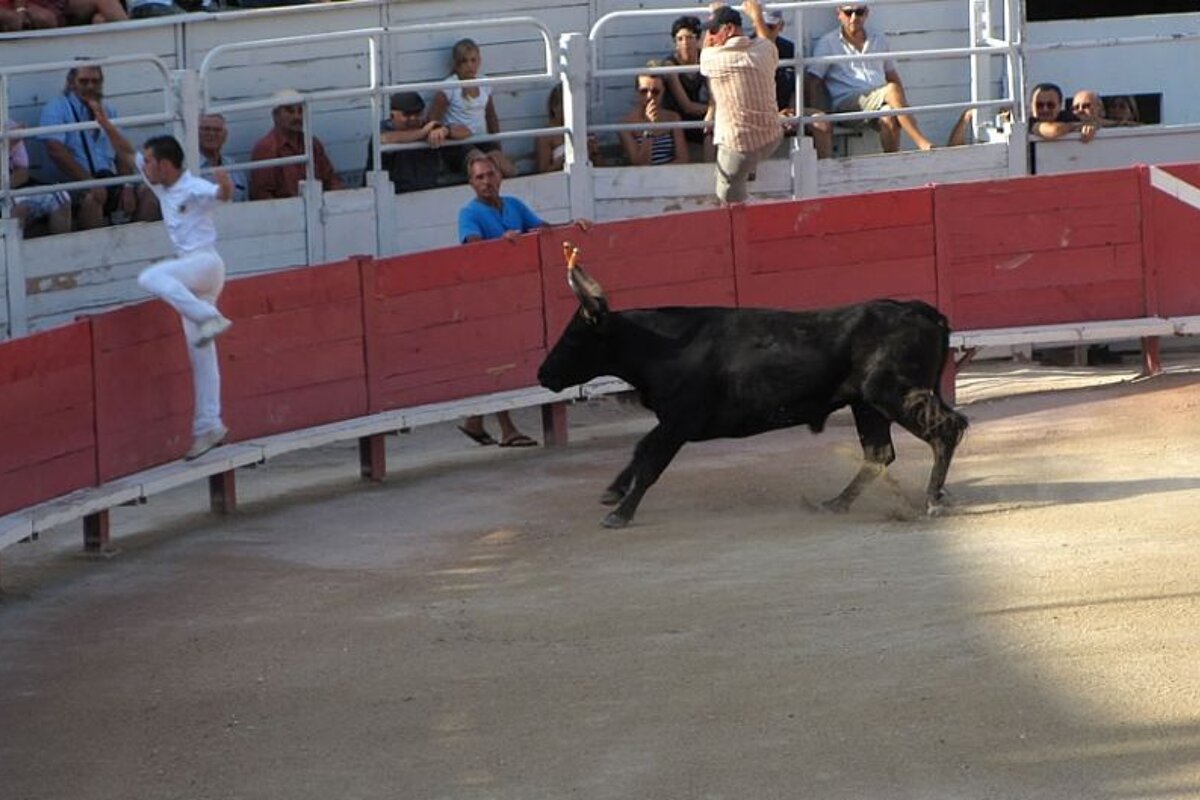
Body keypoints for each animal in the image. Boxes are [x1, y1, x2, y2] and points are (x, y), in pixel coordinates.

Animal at [537, 258, 968, 528]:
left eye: (574, 337)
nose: (543, 374)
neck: (661, 346)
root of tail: (926, 312)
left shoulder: (679, 421)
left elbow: (650, 463)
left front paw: (620, 513)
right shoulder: (672, 421)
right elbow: (641, 451)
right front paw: (612, 493)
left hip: (892, 394)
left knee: (946, 429)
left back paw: (932, 500)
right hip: (868, 405)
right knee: (879, 454)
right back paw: (834, 504)